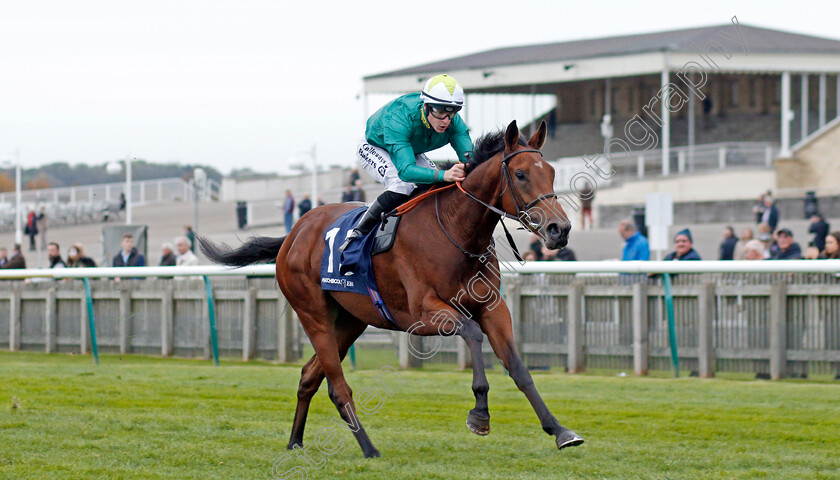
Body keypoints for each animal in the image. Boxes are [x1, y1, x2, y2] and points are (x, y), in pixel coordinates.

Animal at [200, 120, 584, 458]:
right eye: (520, 174)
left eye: (551, 172)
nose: (559, 229)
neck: (456, 230)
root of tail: (293, 234)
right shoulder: (423, 313)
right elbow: (472, 333)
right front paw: (480, 415)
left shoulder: (492, 307)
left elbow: (519, 368)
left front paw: (560, 431)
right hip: (314, 314)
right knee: (337, 387)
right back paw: (369, 448)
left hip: (350, 321)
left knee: (309, 376)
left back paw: (295, 442)